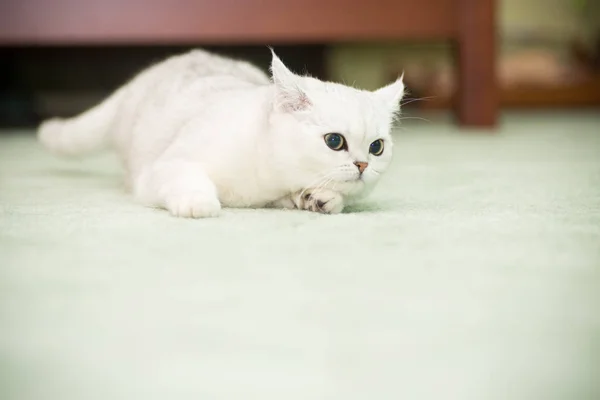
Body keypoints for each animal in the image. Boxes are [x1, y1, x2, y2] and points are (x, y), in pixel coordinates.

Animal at [36, 50, 404, 219]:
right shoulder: (167, 165)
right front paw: (199, 203)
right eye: (334, 141)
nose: (362, 165)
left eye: (376, 147)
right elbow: (188, 179)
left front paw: (321, 199)